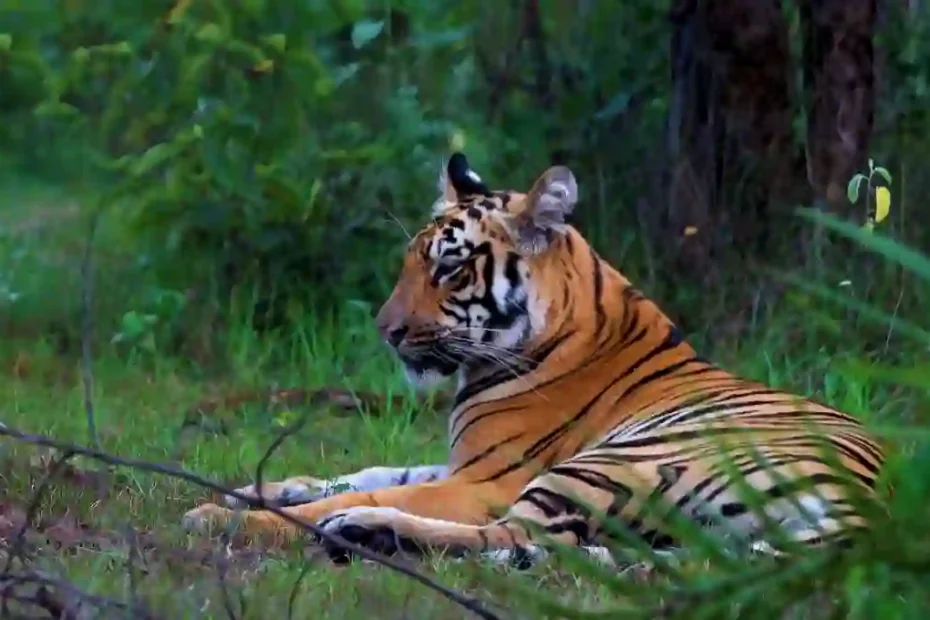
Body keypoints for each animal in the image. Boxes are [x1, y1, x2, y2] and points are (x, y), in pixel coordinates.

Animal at [183, 151, 884, 568]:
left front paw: (216, 514)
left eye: (449, 266)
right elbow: (362, 471)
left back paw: (361, 531)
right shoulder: (458, 463)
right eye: (411, 260)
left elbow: (352, 493)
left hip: (616, 462)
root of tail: (870, 508)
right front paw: (252, 488)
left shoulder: (485, 479)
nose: (386, 332)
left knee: (520, 536)